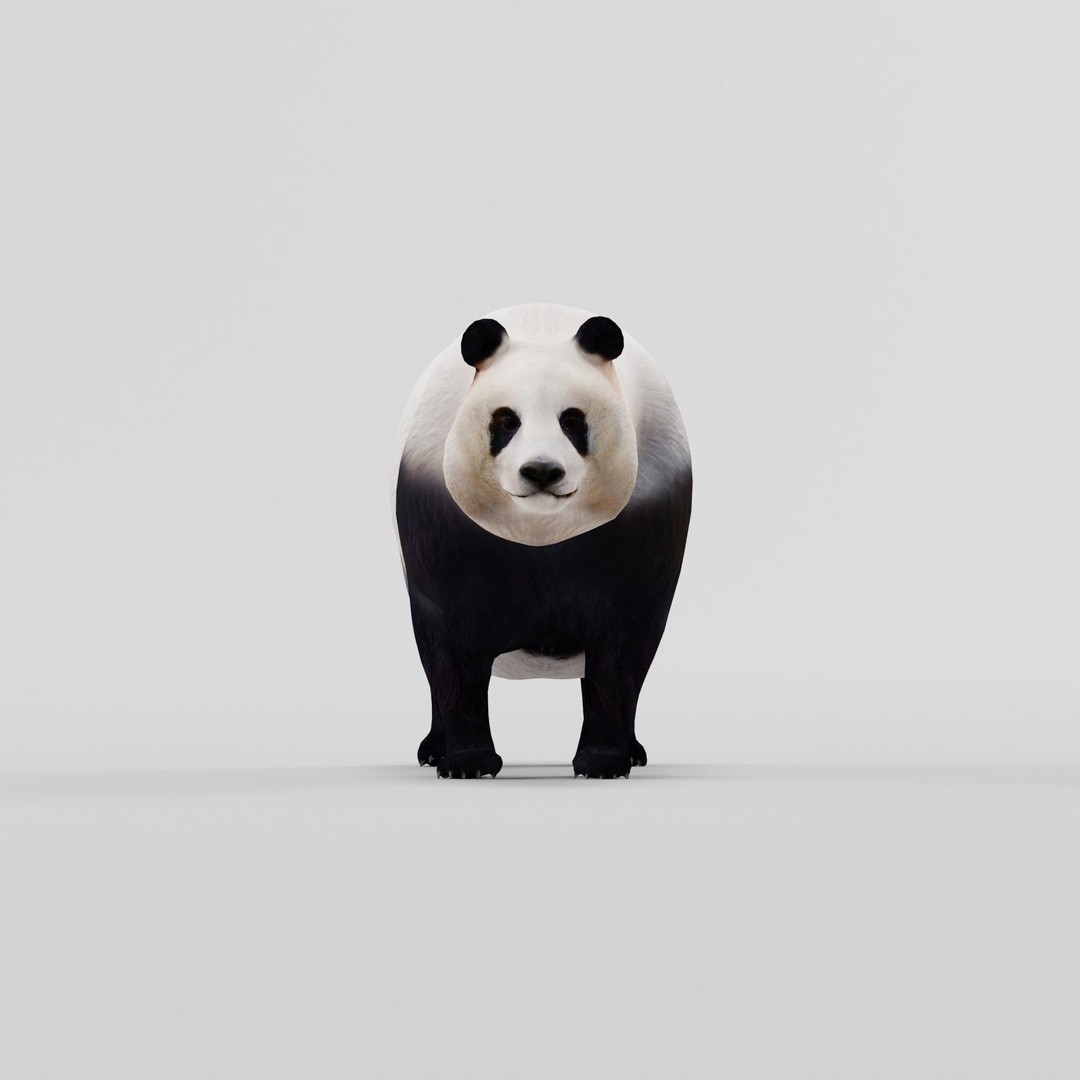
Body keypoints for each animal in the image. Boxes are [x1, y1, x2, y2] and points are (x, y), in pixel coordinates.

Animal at [393, 303, 692, 778]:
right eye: (506, 421)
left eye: (572, 421)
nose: (541, 471)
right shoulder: (438, 522)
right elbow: (450, 640)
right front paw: (468, 762)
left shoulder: (650, 511)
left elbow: (624, 643)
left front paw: (602, 762)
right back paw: (433, 751)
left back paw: (634, 752)